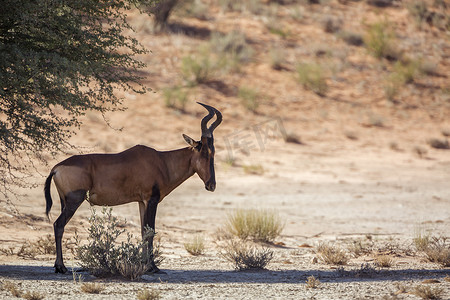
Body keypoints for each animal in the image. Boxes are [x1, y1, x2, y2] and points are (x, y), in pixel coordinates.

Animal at [43, 103, 222, 274]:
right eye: (204, 151)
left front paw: (144, 264)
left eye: (213, 152)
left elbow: (143, 231)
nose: (211, 185)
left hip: (64, 201)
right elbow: (150, 231)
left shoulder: (142, 202)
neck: (162, 161)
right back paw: (61, 267)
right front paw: (153, 267)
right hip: (74, 200)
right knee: (58, 225)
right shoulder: (151, 200)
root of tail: (56, 168)